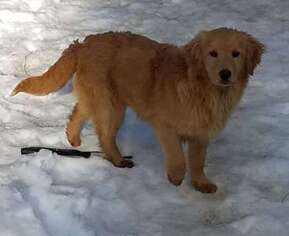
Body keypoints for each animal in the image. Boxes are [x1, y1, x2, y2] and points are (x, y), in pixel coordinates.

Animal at [11, 28, 264, 194]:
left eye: (236, 54)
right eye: (212, 53)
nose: (225, 74)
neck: (202, 87)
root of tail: (83, 44)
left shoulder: (201, 133)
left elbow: (198, 161)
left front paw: (201, 183)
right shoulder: (165, 126)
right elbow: (178, 158)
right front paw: (175, 178)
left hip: (101, 99)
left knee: (80, 111)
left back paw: (73, 139)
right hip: (111, 104)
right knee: (104, 134)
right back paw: (118, 160)